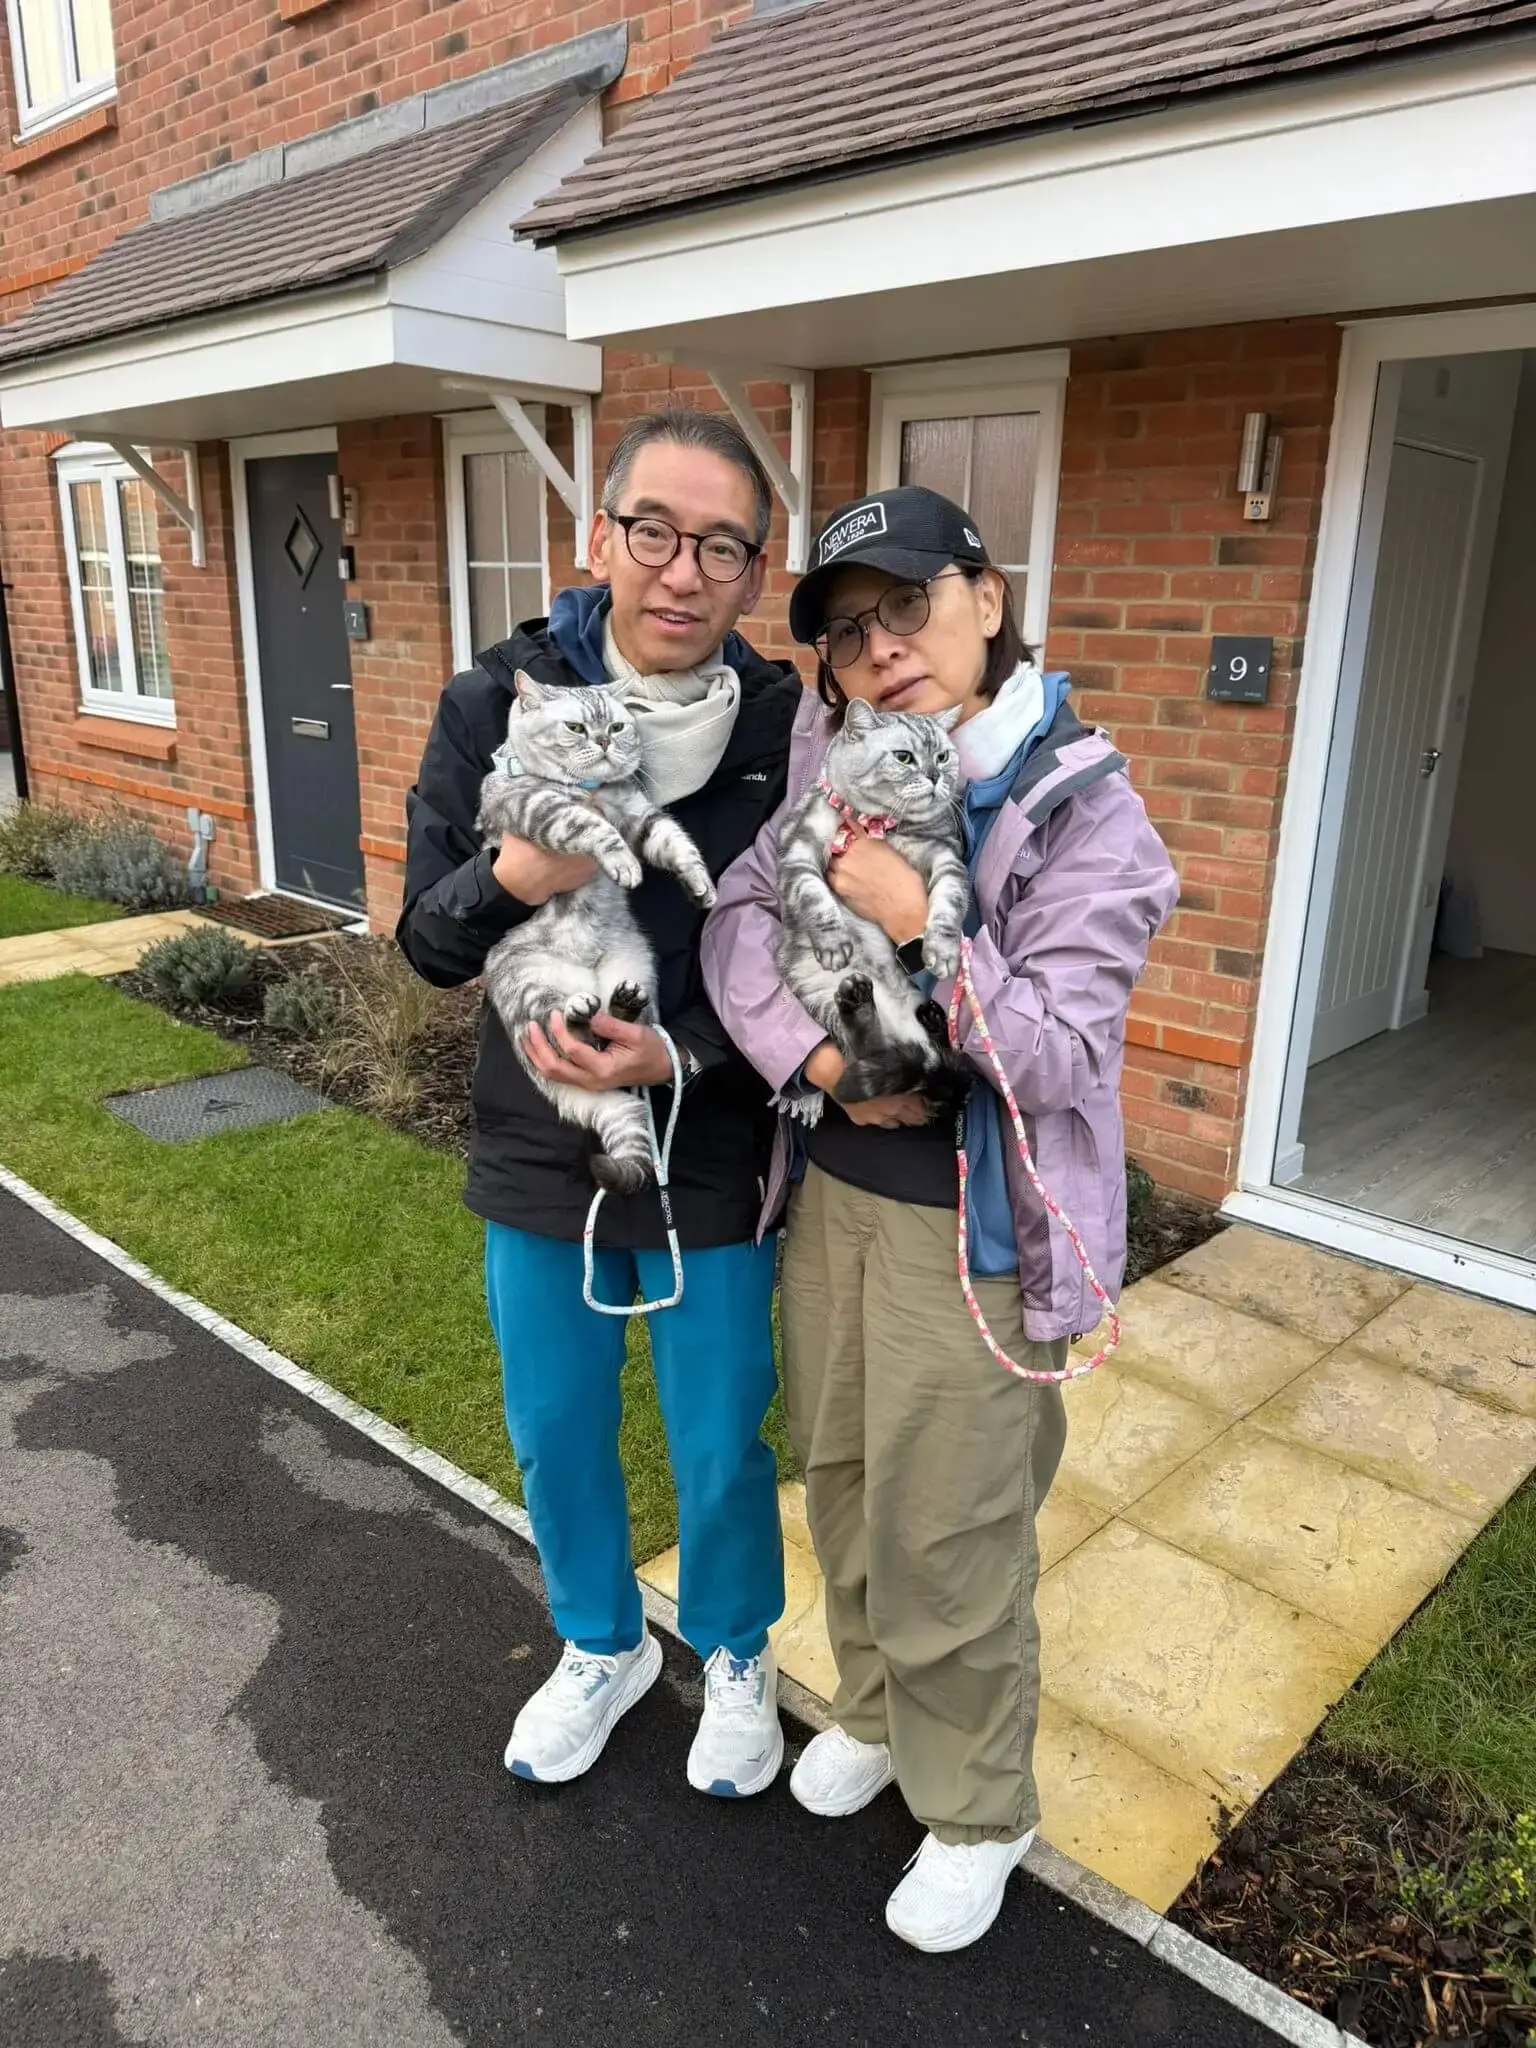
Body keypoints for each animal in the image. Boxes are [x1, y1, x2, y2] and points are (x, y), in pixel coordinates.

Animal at [477, 674, 717, 1194]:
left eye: (618, 725)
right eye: (575, 727)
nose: (605, 740)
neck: (591, 789)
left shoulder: (641, 815)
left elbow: (678, 844)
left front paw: (701, 886)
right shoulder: (538, 806)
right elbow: (591, 826)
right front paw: (623, 864)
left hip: (638, 966)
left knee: (619, 1032)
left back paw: (622, 1004)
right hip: (531, 984)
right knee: (570, 1031)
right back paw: (580, 1009)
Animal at [776, 697, 973, 1112]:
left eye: (943, 756)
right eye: (904, 757)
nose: (935, 776)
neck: (879, 824)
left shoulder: (945, 857)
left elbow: (949, 903)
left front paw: (943, 951)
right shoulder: (798, 850)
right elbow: (814, 896)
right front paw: (834, 942)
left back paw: (931, 1020)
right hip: (816, 988)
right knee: (862, 1046)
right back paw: (861, 1006)